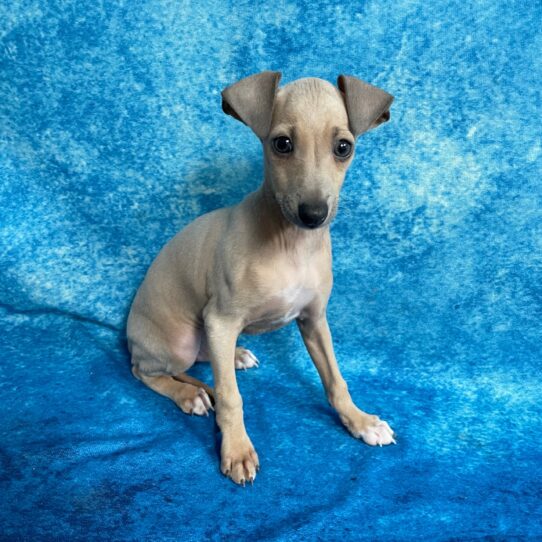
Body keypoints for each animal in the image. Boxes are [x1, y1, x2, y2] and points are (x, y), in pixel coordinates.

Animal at [129, 70, 400, 486]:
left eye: (343, 147)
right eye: (282, 144)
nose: (313, 214)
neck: (290, 244)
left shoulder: (314, 320)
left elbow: (335, 379)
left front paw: (359, 421)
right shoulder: (220, 320)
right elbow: (230, 396)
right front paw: (237, 450)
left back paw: (236, 356)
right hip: (177, 343)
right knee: (148, 372)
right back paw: (188, 395)